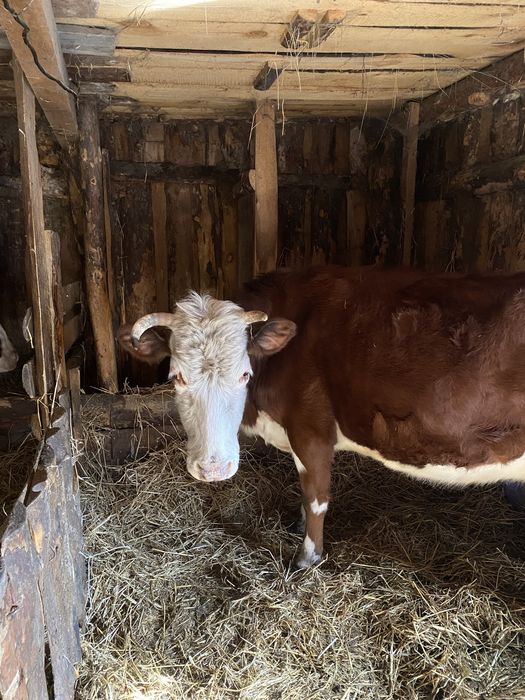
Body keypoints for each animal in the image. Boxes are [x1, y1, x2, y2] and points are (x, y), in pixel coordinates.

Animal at [119, 265, 525, 568]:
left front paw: (307, 557)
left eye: (245, 375)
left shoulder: (310, 429)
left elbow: (315, 496)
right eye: (176, 377)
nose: (214, 468)